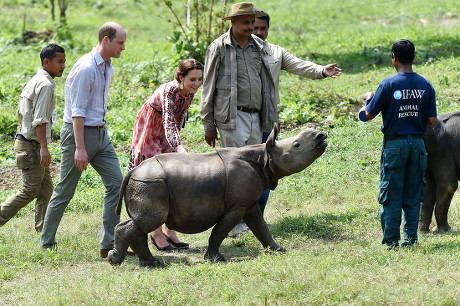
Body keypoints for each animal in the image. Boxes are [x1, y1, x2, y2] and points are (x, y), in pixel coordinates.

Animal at [108, 124, 328, 266]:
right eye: (297, 145)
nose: (322, 136)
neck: (266, 156)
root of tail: (132, 172)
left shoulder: (249, 204)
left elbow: (261, 227)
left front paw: (278, 249)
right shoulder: (237, 206)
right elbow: (220, 231)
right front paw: (215, 258)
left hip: (146, 183)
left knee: (142, 224)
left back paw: (147, 263)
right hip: (150, 183)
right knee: (149, 221)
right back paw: (125, 260)